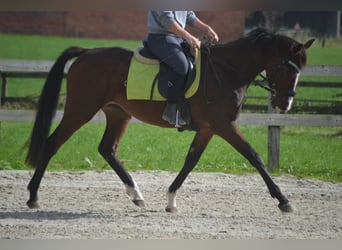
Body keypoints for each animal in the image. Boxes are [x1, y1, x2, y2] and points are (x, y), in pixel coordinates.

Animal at [24, 28, 314, 213]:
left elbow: (191, 161)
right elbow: (254, 156)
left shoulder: (208, 129)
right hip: (80, 110)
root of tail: (87, 53)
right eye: (288, 68)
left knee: (107, 149)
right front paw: (283, 200)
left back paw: (136, 195)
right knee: (52, 143)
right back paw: (33, 197)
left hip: (119, 113)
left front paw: (171, 200)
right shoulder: (224, 126)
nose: (285, 104)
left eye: (301, 70)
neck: (226, 72)